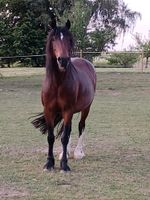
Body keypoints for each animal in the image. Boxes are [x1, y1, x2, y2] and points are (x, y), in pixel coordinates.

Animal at [32, 19, 96, 172]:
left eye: (68, 39)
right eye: (54, 38)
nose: (63, 60)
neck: (57, 83)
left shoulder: (68, 110)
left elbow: (65, 137)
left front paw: (64, 165)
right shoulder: (49, 111)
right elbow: (51, 137)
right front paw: (49, 163)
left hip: (86, 108)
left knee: (81, 125)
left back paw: (78, 152)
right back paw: (65, 153)